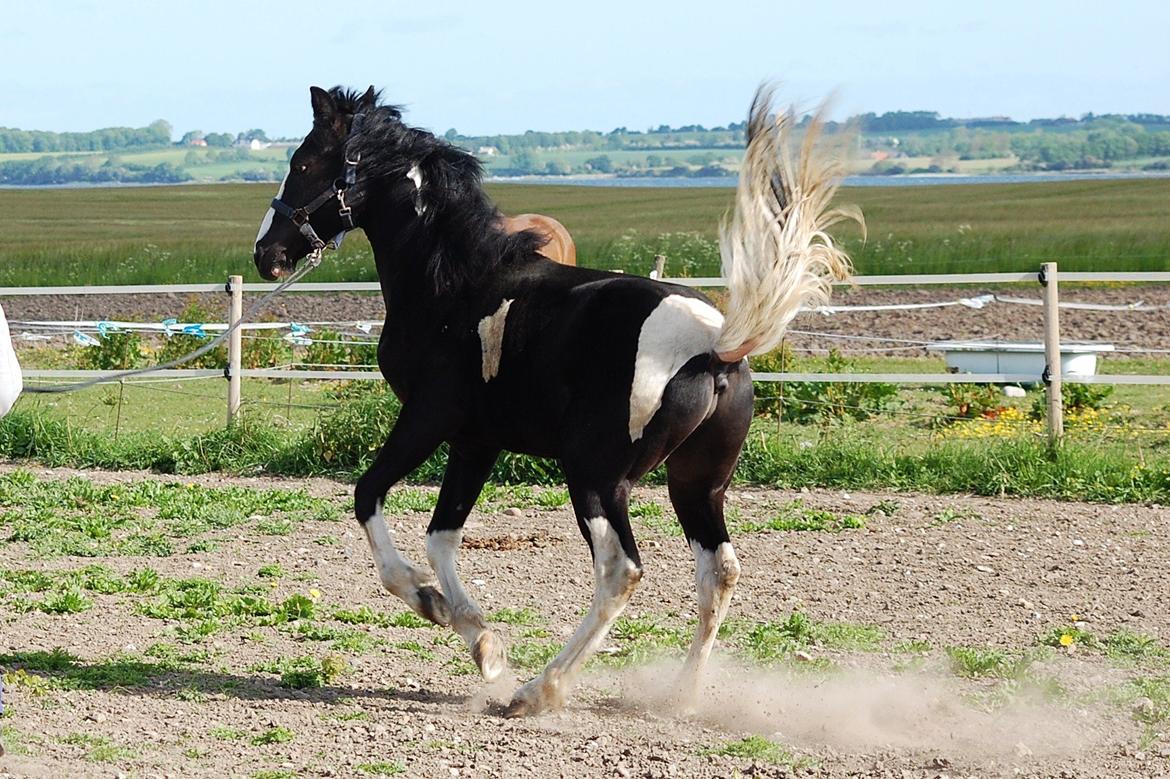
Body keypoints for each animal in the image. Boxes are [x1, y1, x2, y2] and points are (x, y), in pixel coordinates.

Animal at [253, 84, 861, 715]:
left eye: (303, 163)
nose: (265, 254)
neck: (455, 285)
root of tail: (715, 348)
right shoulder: (476, 442)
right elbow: (441, 538)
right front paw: (482, 644)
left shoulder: (428, 419)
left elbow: (368, 498)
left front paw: (433, 605)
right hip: (696, 483)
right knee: (719, 569)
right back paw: (680, 696)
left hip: (595, 477)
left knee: (621, 570)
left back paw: (539, 690)